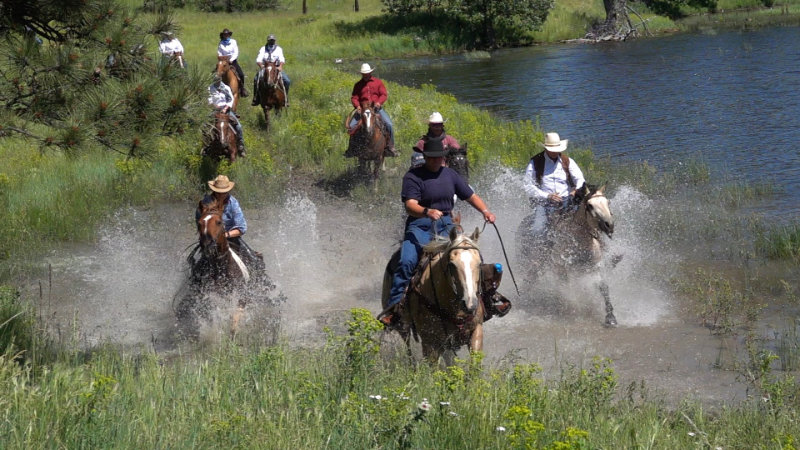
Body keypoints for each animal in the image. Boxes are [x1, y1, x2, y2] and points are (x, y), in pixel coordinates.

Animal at [382, 225, 488, 366]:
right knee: (407, 345)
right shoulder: (430, 343)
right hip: (403, 326)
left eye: (479, 264)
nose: (470, 304)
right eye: (452, 264)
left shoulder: (476, 331)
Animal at [520, 183, 620, 326]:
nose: (609, 225)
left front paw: (610, 317)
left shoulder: (595, 266)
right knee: (529, 279)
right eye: (590, 205)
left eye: (608, 202)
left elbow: (603, 287)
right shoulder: (561, 268)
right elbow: (566, 288)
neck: (579, 241)